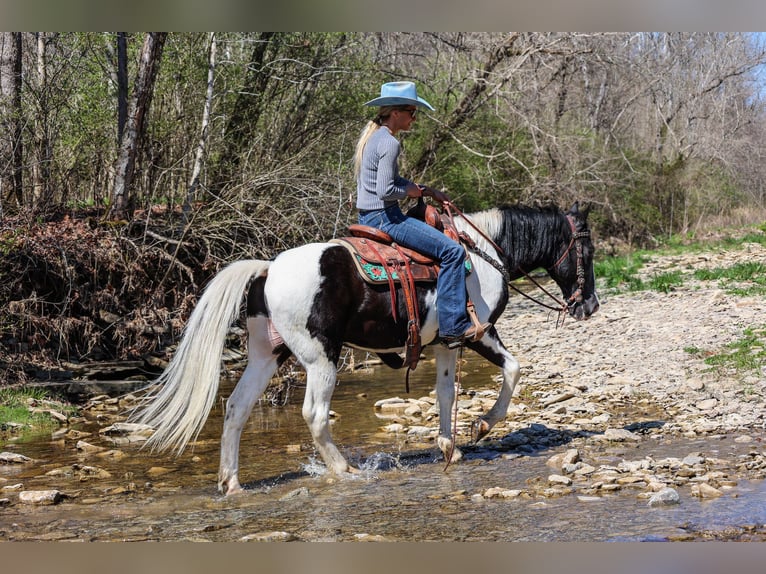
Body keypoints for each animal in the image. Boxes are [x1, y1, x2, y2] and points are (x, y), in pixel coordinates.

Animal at [134, 202, 600, 496]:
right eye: (588, 249)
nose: (591, 305)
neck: (482, 255)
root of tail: (267, 269)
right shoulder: (477, 332)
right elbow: (513, 369)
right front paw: (482, 426)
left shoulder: (446, 344)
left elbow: (445, 394)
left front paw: (450, 446)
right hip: (320, 357)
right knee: (314, 414)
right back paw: (344, 470)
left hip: (267, 356)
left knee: (236, 408)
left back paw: (231, 483)